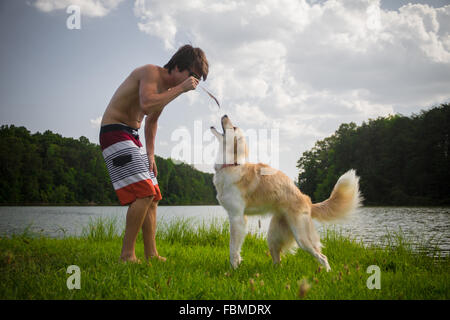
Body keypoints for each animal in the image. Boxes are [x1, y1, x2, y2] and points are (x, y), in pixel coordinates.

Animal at [211, 115, 362, 270]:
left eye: (234, 127)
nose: (225, 115)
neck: (231, 165)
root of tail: (307, 200)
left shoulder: (237, 218)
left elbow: (233, 249)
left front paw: (233, 269)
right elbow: (236, 249)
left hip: (302, 238)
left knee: (322, 257)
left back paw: (328, 272)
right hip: (273, 237)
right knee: (278, 261)